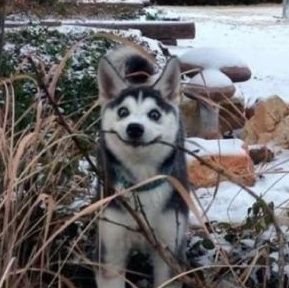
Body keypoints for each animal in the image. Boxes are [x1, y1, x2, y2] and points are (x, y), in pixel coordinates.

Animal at [95, 47, 188, 288]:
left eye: (154, 114)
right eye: (123, 112)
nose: (135, 128)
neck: (141, 183)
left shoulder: (169, 250)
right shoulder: (111, 251)